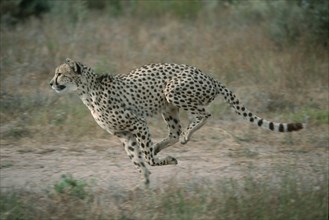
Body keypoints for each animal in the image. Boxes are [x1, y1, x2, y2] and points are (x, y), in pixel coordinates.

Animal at [48, 58, 302, 186]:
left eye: (60, 74)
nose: (51, 83)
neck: (86, 91)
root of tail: (209, 76)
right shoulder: (124, 134)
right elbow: (137, 159)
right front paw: (145, 181)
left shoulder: (137, 124)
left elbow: (146, 157)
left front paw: (164, 162)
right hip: (168, 108)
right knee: (174, 131)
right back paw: (162, 145)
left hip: (173, 91)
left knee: (203, 115)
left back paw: (186, 136)